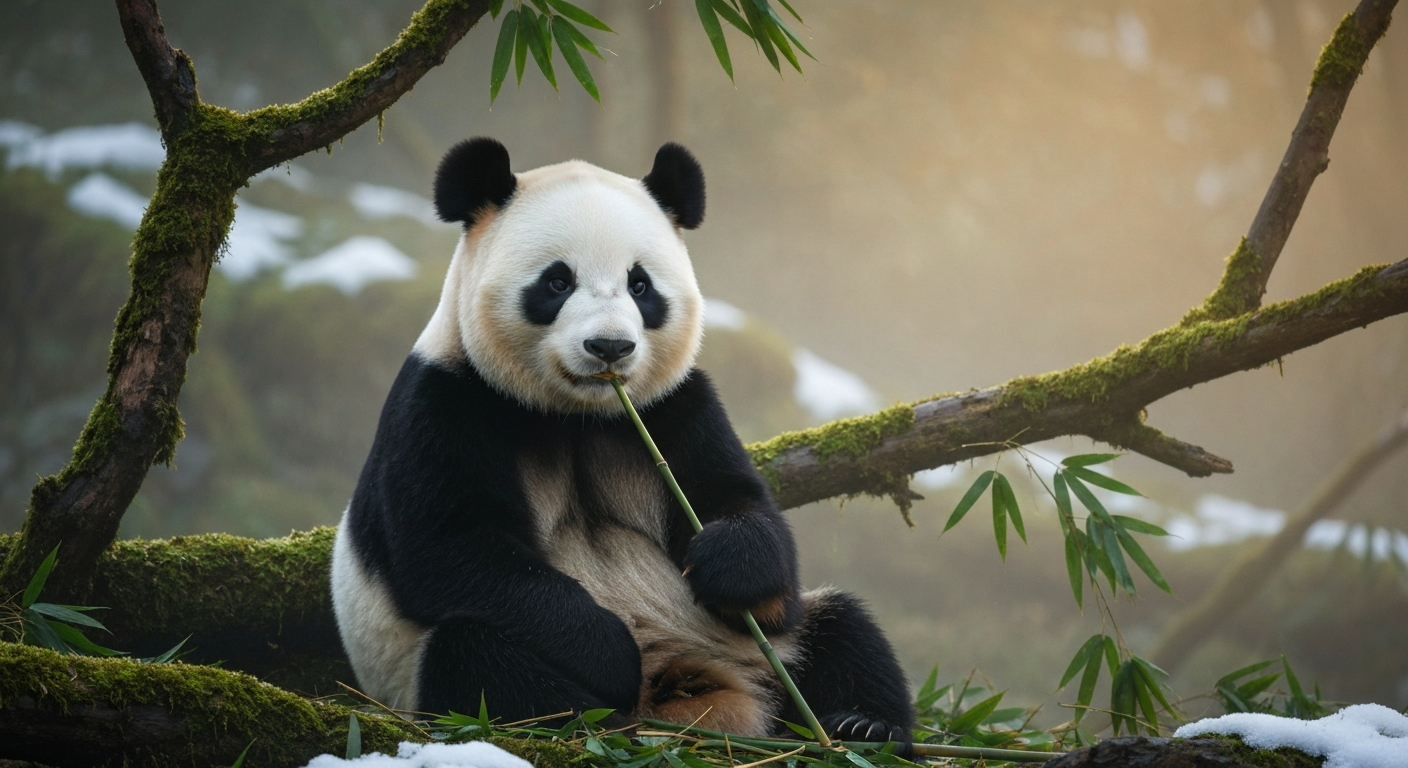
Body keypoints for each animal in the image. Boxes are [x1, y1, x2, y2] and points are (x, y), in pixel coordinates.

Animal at [331, 138, 915, 747]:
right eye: (557, 282)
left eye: (641, 285)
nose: (609, 346)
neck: (578, 415)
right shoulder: (446, 403)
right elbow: (453, 548)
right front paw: (609, 652)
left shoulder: (675, 409)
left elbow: (741, 510)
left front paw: (725, 562)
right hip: (429, 672)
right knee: (479, 660)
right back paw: (599, 724)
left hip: (760, 654)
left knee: (841, 629)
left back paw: (861, 724)